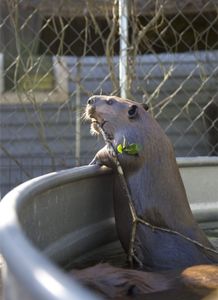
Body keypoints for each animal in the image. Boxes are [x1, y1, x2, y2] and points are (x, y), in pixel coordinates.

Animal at [84, 95, 218, 270]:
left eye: (110, 101)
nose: (90, 101)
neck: (146, 130)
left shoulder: (133, 142)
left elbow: (111, 154)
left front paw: (93, 161)